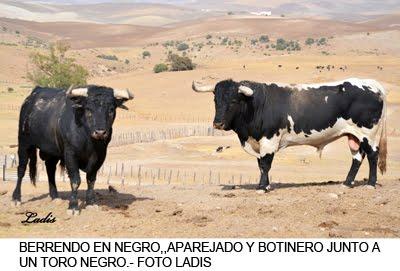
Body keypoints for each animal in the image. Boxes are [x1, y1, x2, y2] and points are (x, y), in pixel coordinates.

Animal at [11, 85, 134, 215]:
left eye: (111, 109)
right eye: (88, 109)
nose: (100, 132)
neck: (89, 140)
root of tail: (32, 96)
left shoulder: (100, 156)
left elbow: (91, 179)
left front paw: (91, 203)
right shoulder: (70, 154)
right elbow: (75, 180)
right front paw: (73, 206)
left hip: (52, 151)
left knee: (50, 170)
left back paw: (55, 197)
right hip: (24, 143)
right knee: (21, 169)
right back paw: (16, 198)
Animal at [192, 78, 386, 191]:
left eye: (233, 101)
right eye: (215, 100)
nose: (218, 123)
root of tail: (373, 85)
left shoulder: (269, 140)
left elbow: (265, 164)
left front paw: (262, 187)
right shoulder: (257, 142)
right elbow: (260, 164)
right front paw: (264, 184)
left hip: (368, 133)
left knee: (372, 155)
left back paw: (370, 183)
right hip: (354, 135)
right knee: (357, 157)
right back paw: (347, 183)